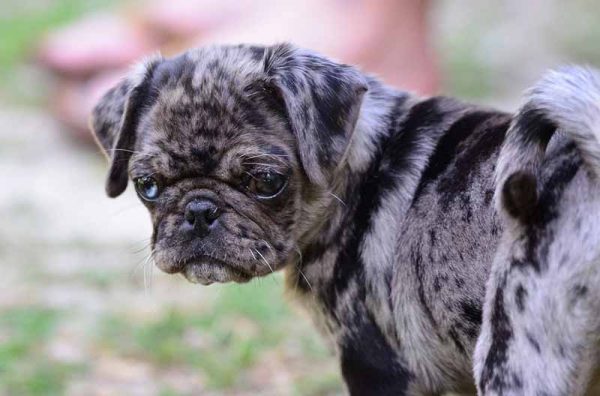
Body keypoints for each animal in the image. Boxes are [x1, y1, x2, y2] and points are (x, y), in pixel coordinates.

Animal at [90, 41, 600, 394]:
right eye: (147, 186)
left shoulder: (375, 365)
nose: (199, 211)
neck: (358, 160)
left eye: (266, 181)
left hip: (515, 356)